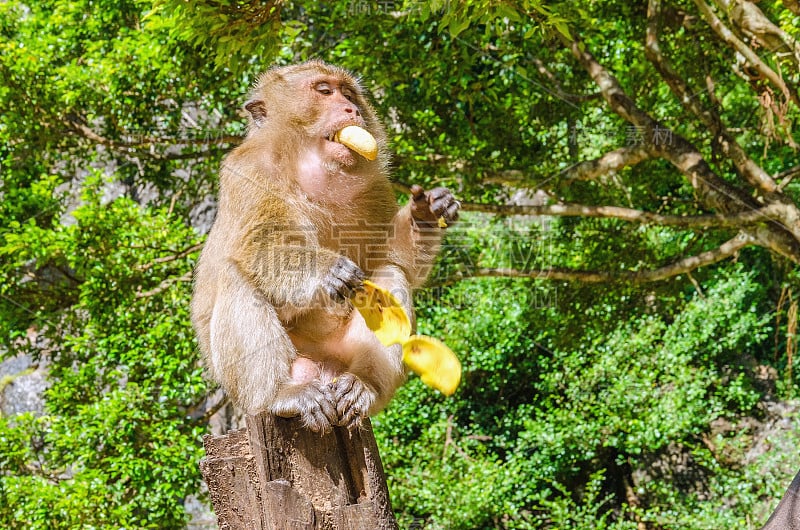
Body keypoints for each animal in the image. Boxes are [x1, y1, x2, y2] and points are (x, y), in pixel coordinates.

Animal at [190, 59, 460, 432]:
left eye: (348, 93)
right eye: (323, 91)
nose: (352, 109)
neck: (314, 171)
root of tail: (320, 369)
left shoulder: (376, 186)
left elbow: (393, 259)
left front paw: (425, 214)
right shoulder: (250, 172)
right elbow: (261, 244)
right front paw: (327, 271)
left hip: (340, 357)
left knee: (388, 275)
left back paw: (363, 387)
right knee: (237, 274)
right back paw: (280, 395)